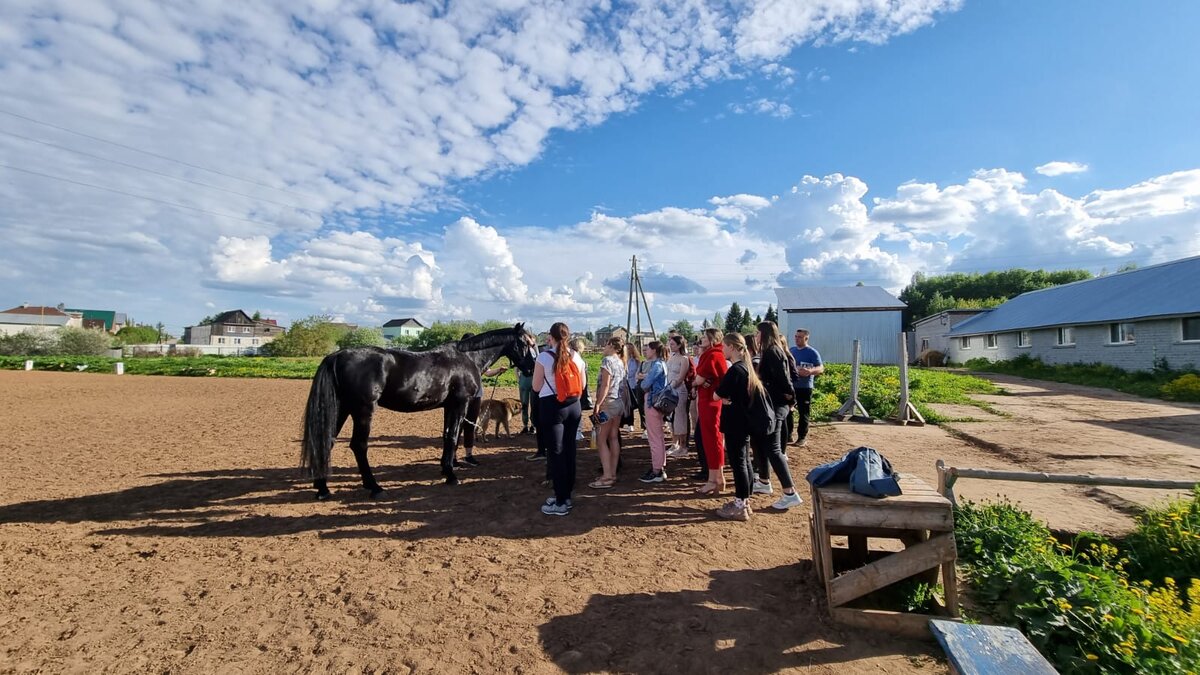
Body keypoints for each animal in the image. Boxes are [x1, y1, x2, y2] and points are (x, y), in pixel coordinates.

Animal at [302, 324, 537, 497]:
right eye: (524, 343)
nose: (532, 368)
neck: (467, 358)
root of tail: (337, 356)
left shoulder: (449, 406)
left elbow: (447, 436)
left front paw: (448, 468)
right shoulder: (459, 404)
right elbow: (453, 436)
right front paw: (451, 475)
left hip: (341, 409)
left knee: (327, 440)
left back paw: (323, 488)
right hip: (363, 410)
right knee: (358, 446)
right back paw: (375, 487)